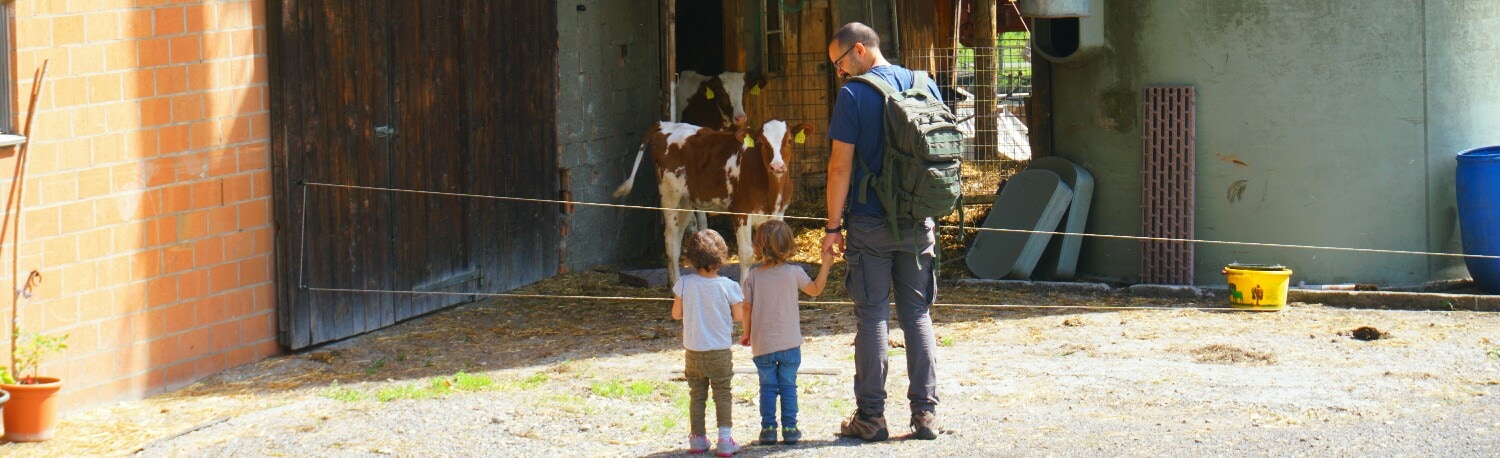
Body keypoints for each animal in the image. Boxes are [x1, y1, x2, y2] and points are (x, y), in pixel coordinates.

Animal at [615, 119, 816, 283]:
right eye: (761, 142)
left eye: (789, 140)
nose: (777, 166)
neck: (770, 191)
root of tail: (666, 124)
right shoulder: (740, 212)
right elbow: (746, 255)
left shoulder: (778, 213)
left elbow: (774, 249)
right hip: (670, 195)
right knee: (671, 241)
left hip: (686, 201)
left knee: (678, 238)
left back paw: (672, 283)